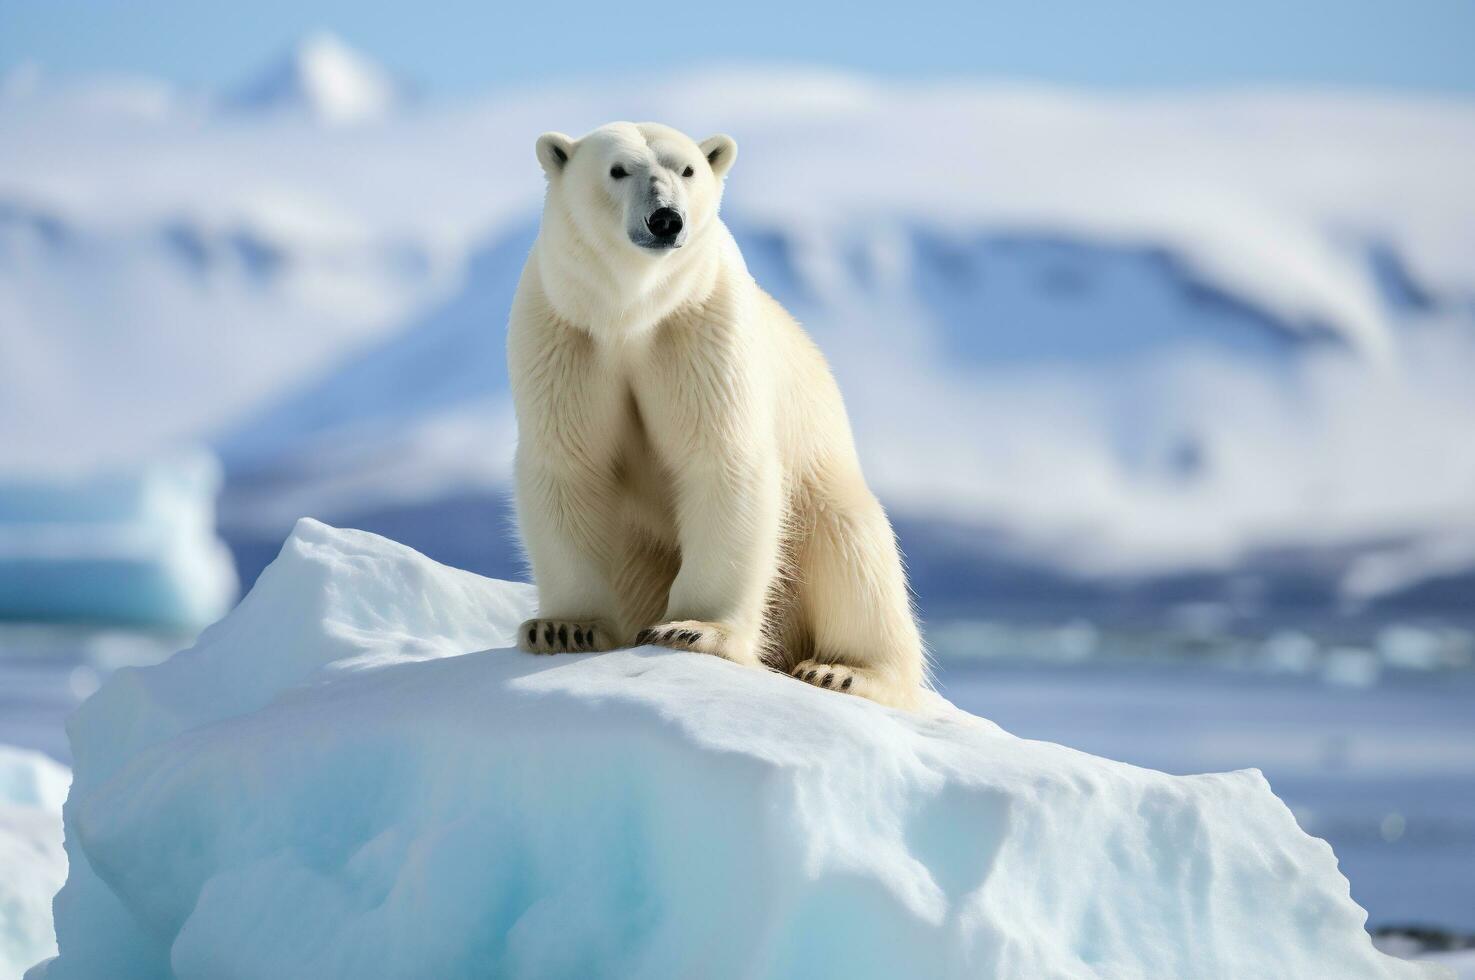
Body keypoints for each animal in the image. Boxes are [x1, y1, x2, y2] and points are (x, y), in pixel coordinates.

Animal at [507, 122, 920, 708]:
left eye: (687, 169)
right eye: (618, 169)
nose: (666, 218)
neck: (631, 315)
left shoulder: (700, 328)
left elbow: (721, 458)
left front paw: (693, 629)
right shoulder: (565, 332)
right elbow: (568, 465)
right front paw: (565, 628)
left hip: (823, 497)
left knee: (853, 556)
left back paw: (842, 671)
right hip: (643, 551)